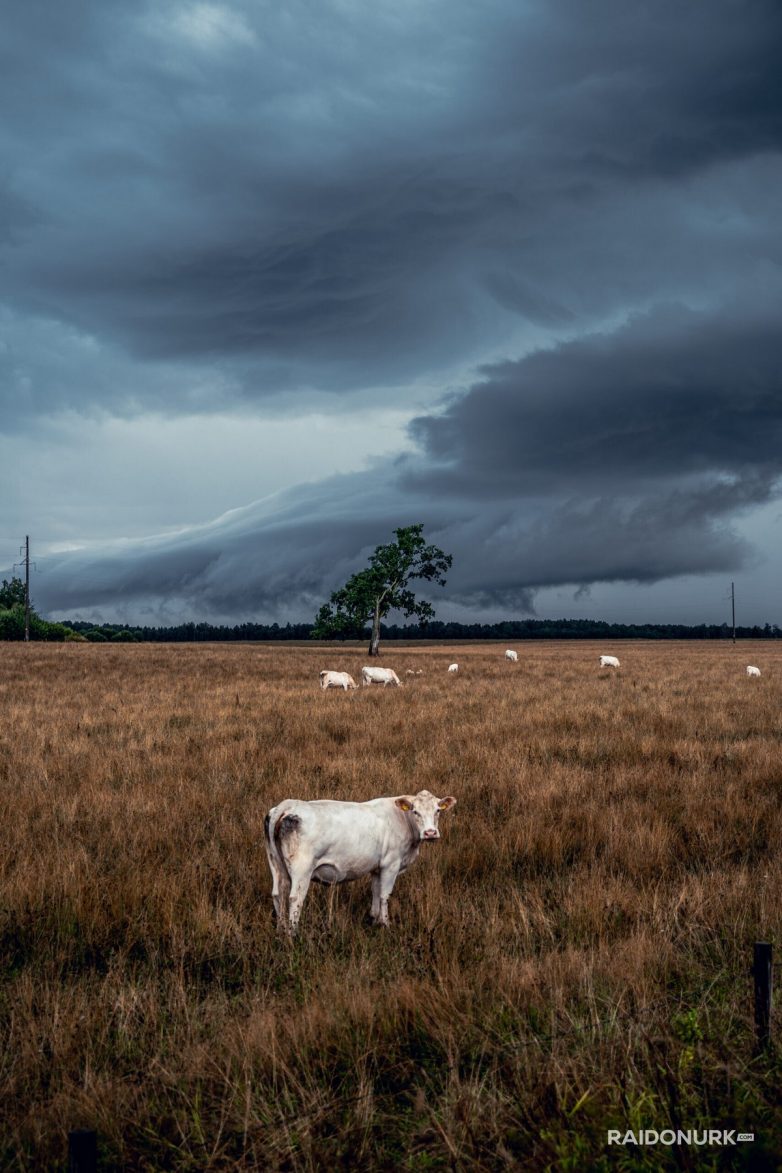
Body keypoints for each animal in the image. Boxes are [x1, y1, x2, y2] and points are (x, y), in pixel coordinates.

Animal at [264, 788, 454, 933]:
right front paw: (386, 924)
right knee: (295, 898)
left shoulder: (377, 868)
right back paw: (293, 934)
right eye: (415, 812)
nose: (430, 833)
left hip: (276, 864)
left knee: (278, 893)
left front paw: (375, 920)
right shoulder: (391, 865)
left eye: (438, 810)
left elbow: (376, 892)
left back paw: (281, 930)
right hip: (302, 869)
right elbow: (385, 895)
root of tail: (290, 804)